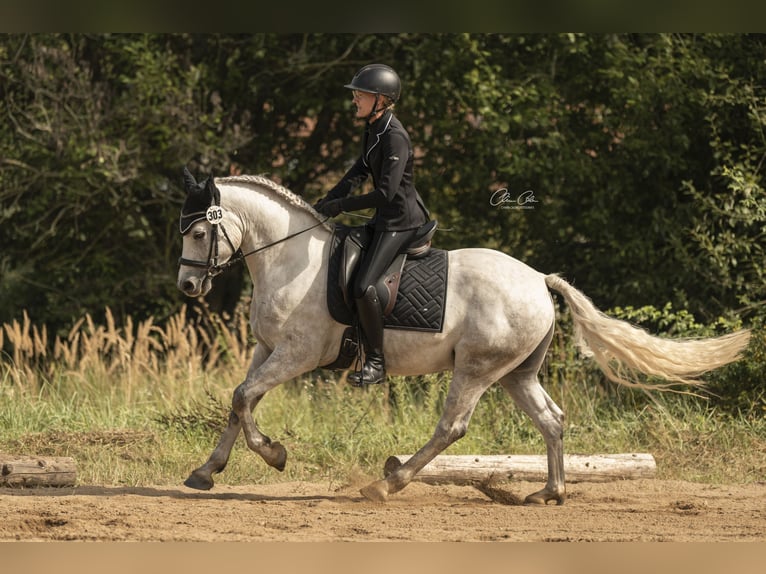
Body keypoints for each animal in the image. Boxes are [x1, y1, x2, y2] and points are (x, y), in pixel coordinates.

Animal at [176, 173, 752, 506]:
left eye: (200, 232)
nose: (187, 287)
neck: (290, 258)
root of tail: (539, 279)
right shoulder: (267, 349)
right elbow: (238, 403)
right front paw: (206, 472)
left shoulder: (297, 353)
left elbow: (243, 398)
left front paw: (274, 455)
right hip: (516, 373)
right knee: (552, 419)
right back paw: (550, 492)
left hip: (476, 367)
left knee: (452, 426)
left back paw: (388, 483)